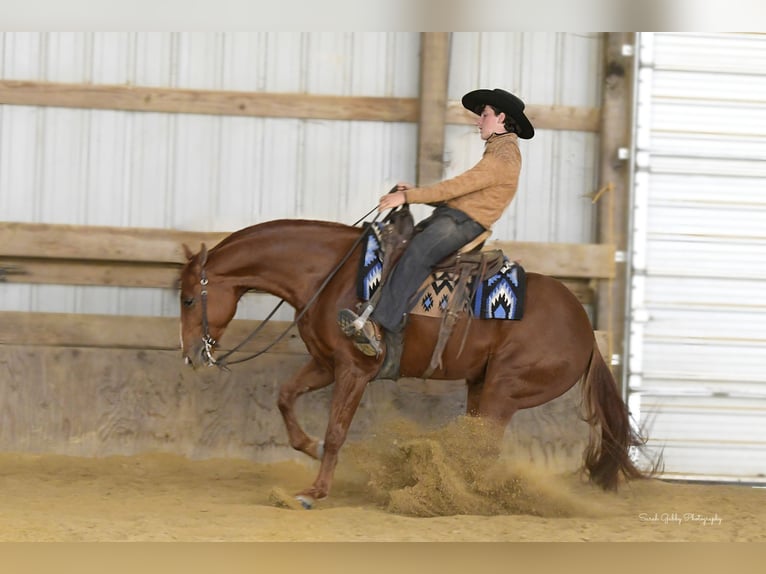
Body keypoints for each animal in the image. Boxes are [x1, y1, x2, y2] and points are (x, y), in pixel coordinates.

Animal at [179, 218, 648, 508]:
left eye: (187, 299)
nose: (191, 355)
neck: (329, 276)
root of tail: (586, 331)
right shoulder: (326, 363)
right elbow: (285, 397)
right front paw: (308, 447)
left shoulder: (355, 370)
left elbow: (336, 431)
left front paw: (316, 490)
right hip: (481, 386)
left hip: (504, 390)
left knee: (482, 449)